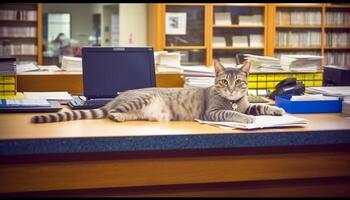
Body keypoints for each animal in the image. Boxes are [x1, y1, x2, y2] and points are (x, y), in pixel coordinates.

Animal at [30, 59, 284, 123]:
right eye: (223, 82)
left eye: (239, 83)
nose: (231, 90)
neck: (234, 101)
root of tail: (118, 96)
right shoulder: (212, 113)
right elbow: (232, 113)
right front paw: (247, 119)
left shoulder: (246, 103)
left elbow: (257, 106)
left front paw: (277, 110)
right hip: (139, 99)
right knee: (112, 112)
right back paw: (116, 115)